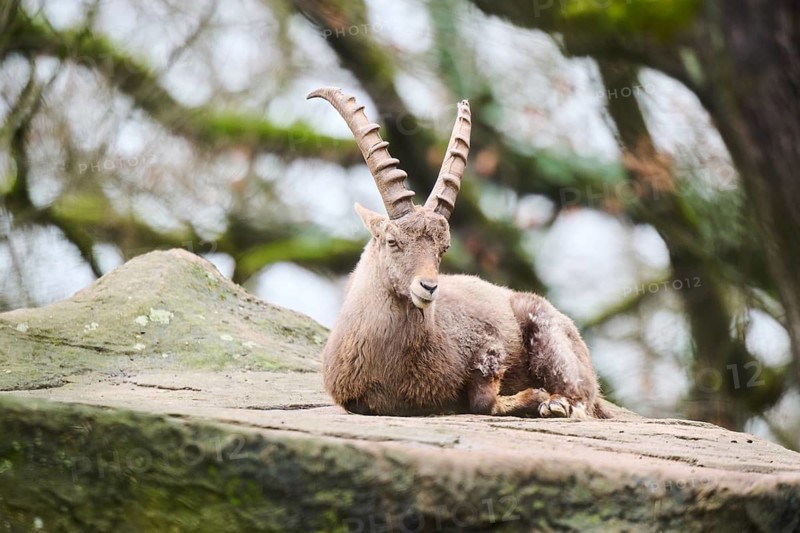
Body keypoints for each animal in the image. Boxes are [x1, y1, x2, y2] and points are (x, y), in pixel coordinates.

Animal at [307, 87, 608, 419]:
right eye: (392, 241)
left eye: (443, 247)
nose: (428, 287)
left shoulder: (488, 346)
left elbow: (483, 399)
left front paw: (533, 397)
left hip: (547, 332)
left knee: (580, 399)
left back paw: (555, 403)